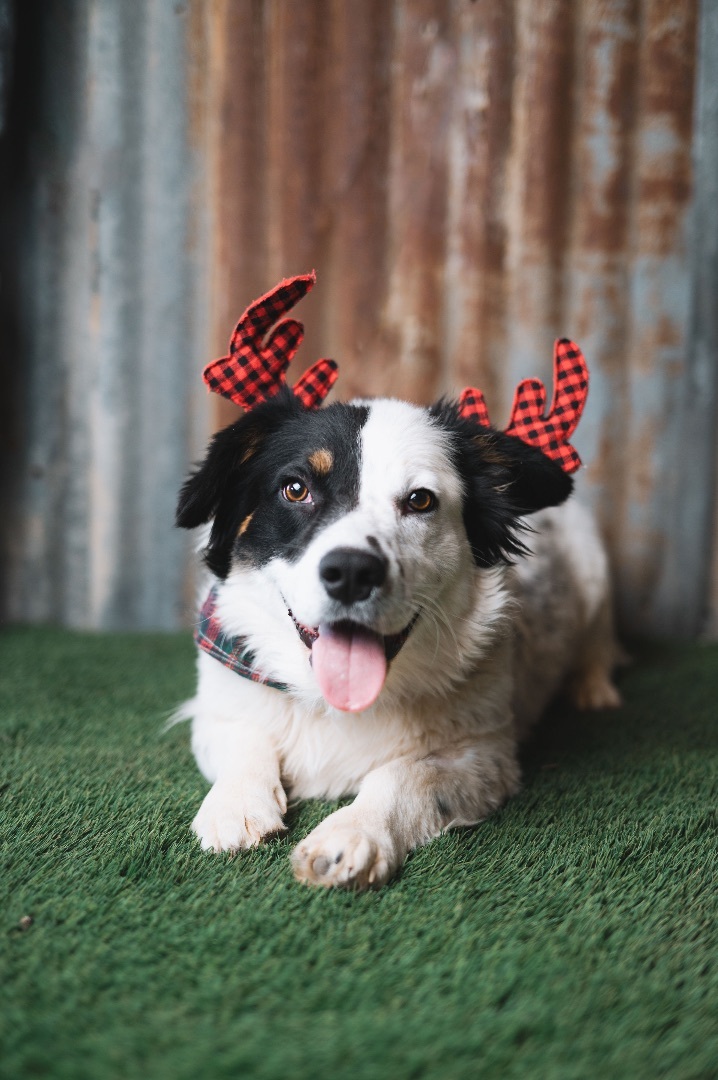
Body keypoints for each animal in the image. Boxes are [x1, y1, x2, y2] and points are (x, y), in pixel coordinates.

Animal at [174, 291, 621, 889]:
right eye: (295, 489)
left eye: (420, 500)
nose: (351, 572)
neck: (335, 704)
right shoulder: (217, 704)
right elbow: (246, 738)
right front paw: (235, 805)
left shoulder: (482, 753)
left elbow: (403, 777)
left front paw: (349, 835)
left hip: (595, 571)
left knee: (598, 643)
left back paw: (595, 688)